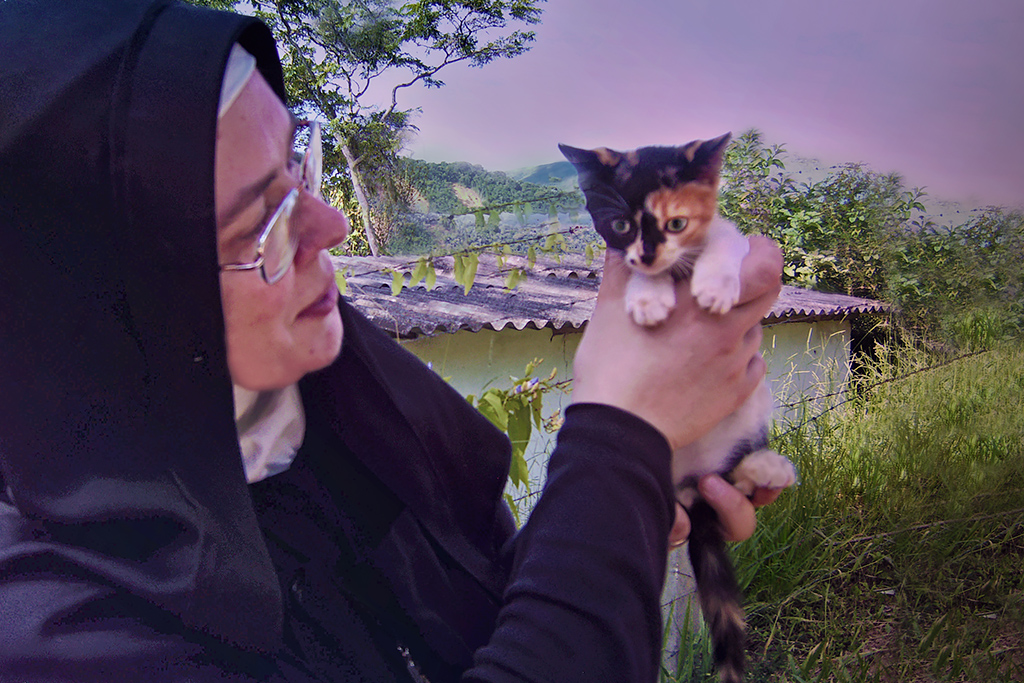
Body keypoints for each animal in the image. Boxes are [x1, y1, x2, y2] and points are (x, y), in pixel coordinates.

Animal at [565, 133, 794, 683]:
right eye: (621, 226)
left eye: (676, 223)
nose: (648, 257)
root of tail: (691, 486)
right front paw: (648, 297)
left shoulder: (727, 233)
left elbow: (724, 241)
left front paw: (713, 284)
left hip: (748, 412)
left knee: (733, 477)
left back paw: (765, 467)